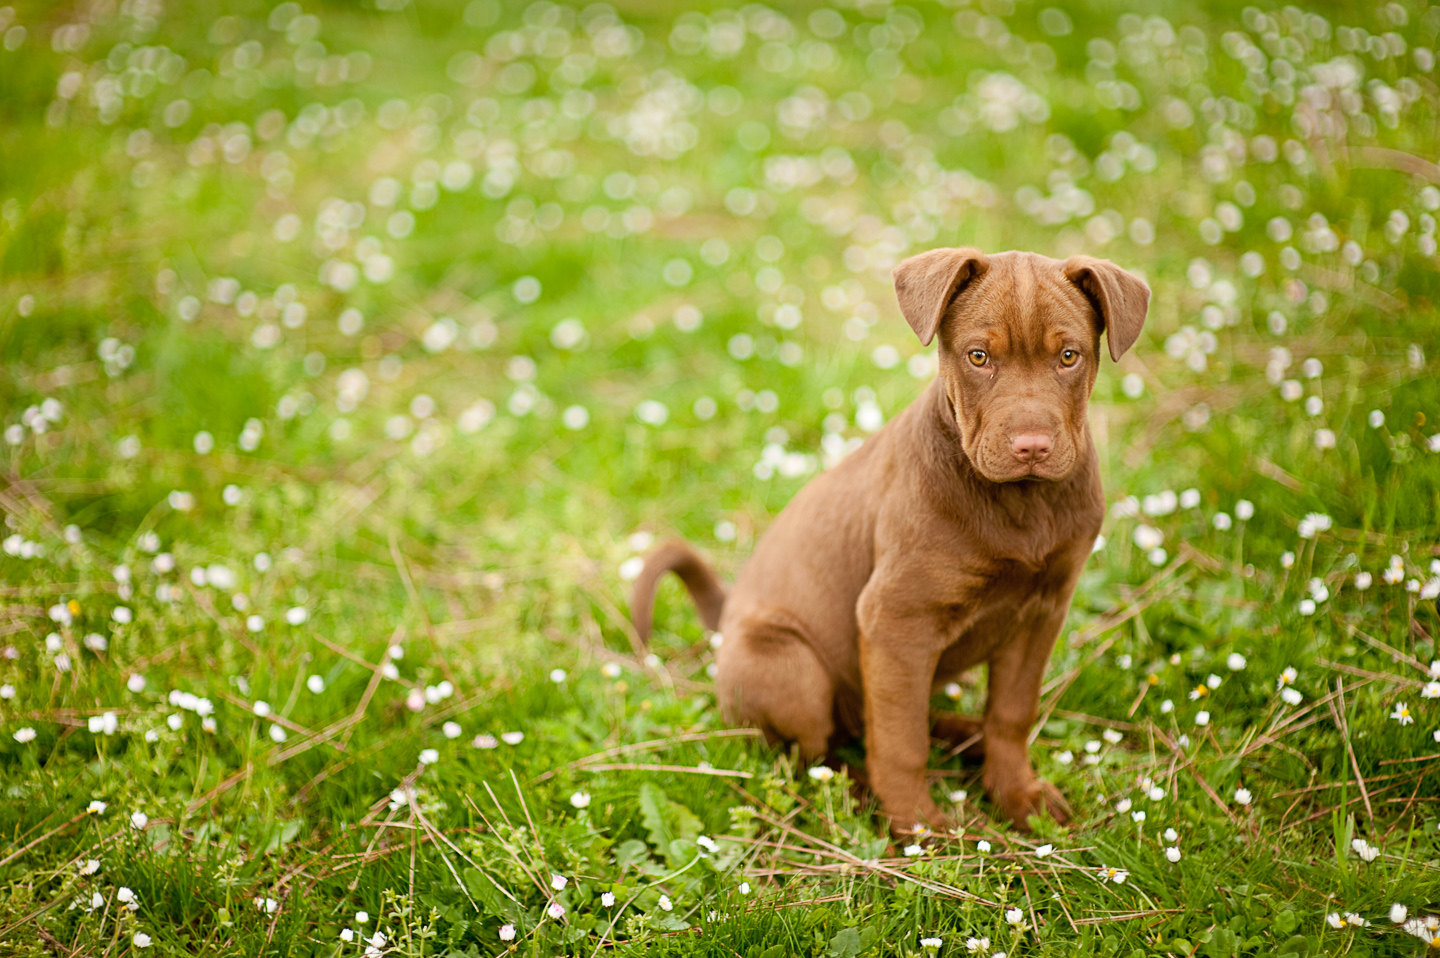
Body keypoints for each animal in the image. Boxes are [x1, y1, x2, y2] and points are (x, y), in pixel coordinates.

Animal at [630, 250, 1146, 835]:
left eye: (1068, 356)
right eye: (978, 356)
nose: (1031, 446)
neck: (1021, 502)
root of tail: (728, 613)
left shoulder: (1041, 611)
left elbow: (1010, 715)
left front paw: (1018, 795)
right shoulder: (896, 621)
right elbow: (901, 743)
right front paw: (917, 826)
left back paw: (966, 738)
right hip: (792, 668)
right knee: (813, 756)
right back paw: (859, 791)